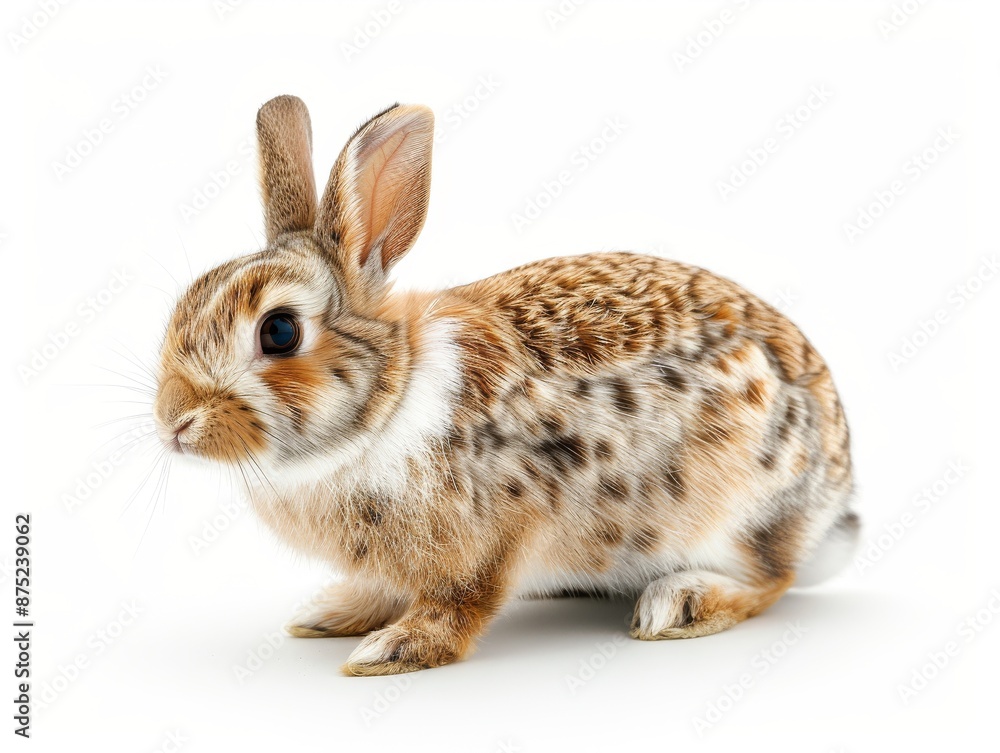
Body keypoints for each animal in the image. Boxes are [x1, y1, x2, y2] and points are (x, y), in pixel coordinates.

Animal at [153, 95, 858, 676]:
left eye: (279, 332)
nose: (174, 423)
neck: (385, 404)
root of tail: (834, 497)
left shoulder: (490, 539)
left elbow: (462, 602)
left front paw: (393, 650)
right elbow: (381, 588)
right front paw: (330, 615)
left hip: (738, 508)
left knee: (772, 576)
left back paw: (681, 603)